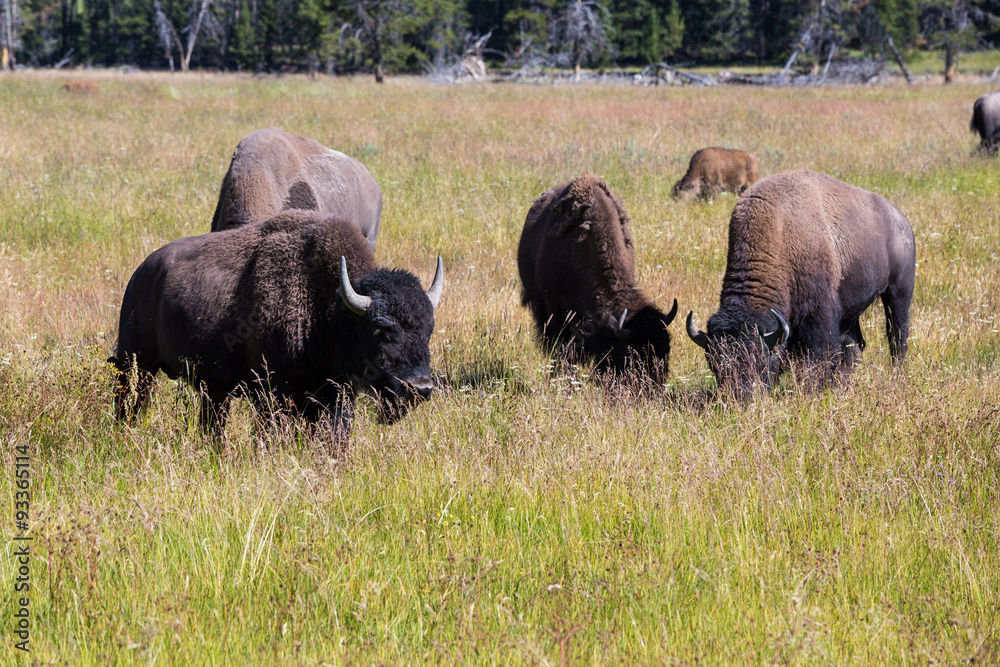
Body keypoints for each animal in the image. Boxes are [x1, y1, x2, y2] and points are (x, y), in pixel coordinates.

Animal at [109, 211, 442, 440]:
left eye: (429, 331)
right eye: (380, 330)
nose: (421, 388)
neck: (331, 308)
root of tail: (141, 274)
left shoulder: (333, 395)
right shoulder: (272, 394)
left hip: (210, 388)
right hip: (135, 365)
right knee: (129, 404)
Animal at [688, 172, 916, 400]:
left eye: (759, 360)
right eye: (713, 364)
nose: (740, 398)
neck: (780, 235)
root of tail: (902, 222)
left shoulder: (818, 315)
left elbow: (820, 356)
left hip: (898, 293)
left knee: (898, 337)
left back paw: (895, 374)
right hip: (852, 310)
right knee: (856, 346)